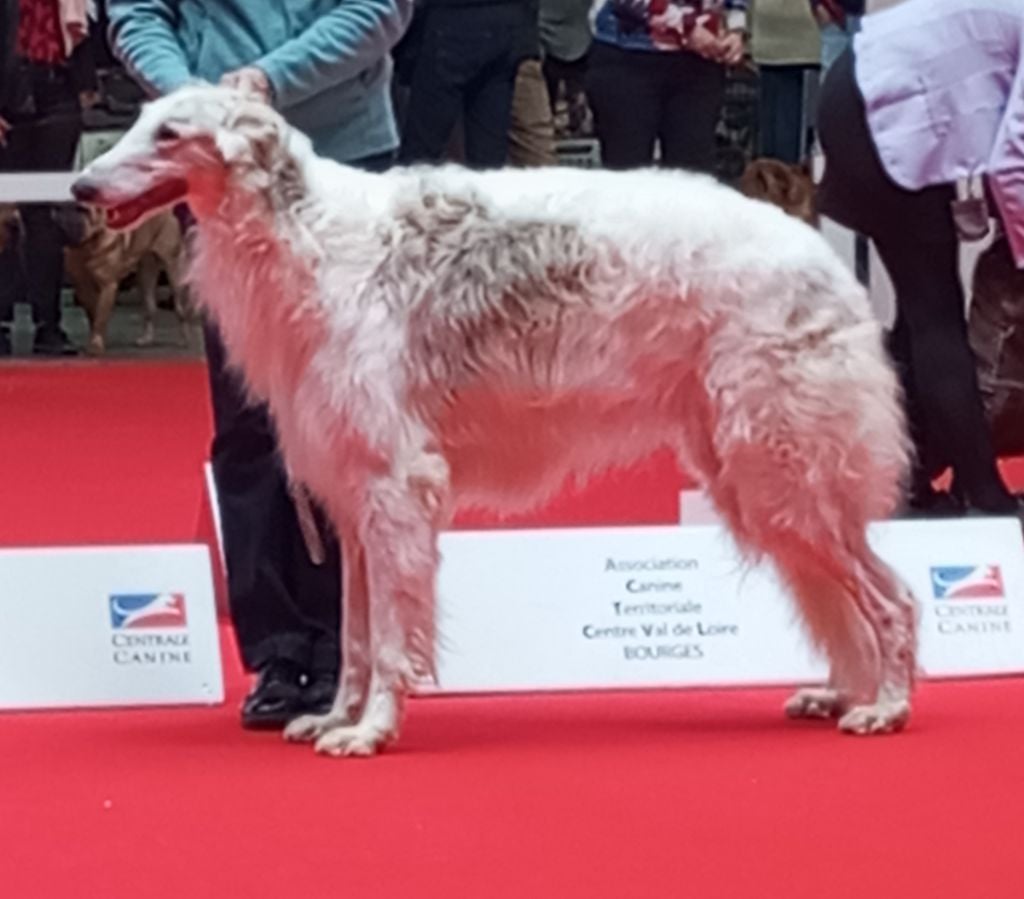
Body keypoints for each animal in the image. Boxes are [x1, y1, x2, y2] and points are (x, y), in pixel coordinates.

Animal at [75, 86, 917, 761]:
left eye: (168, 133)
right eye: (138, 121)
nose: (80, 185)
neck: (309, 233)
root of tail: (821, 253)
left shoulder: (396, 485)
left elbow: (388, 637)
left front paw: (370, 729)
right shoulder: (352, 497)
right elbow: (354, 635)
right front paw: (336, 717)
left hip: (779, 467)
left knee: (893, 597)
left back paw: (886, 704)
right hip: (755, 475)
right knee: (845, 597)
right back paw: (842, 691)